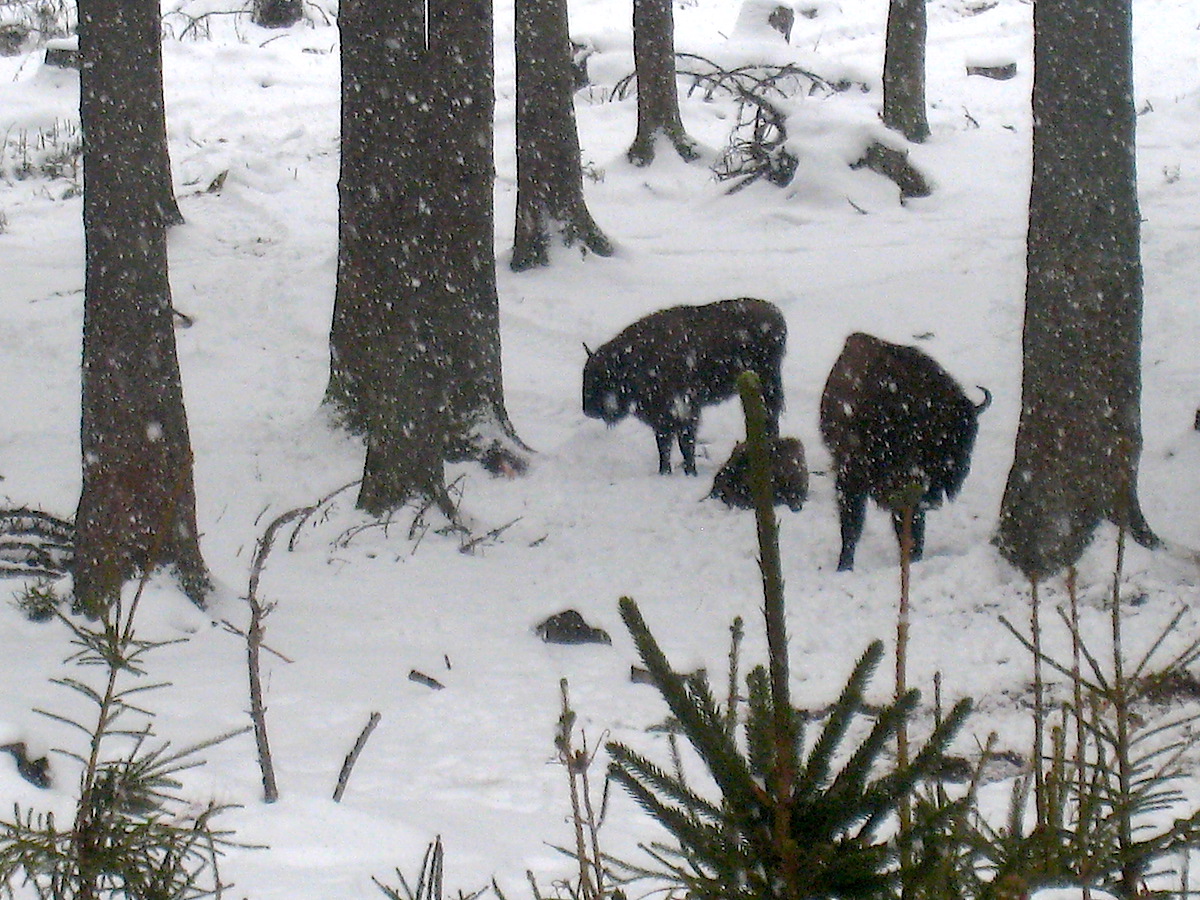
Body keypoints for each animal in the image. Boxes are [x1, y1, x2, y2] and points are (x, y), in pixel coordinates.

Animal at [580, 297, 787, 480]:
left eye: (605, 376)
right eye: (586, 374)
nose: (588, 410)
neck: (636, 360)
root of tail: (775, 314)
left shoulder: (685, 411)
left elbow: (685, 444)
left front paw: (690, 472)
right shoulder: (660, 419)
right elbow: (663, 446)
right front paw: (664, 472)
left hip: (769, 382)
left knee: (771, 414)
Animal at [816, 331, 993, 571]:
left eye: (971, 437)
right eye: (940, 437)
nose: (959, 473)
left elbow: (910, 528)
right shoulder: (850, 477)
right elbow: (852, 526)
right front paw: (844, 567)